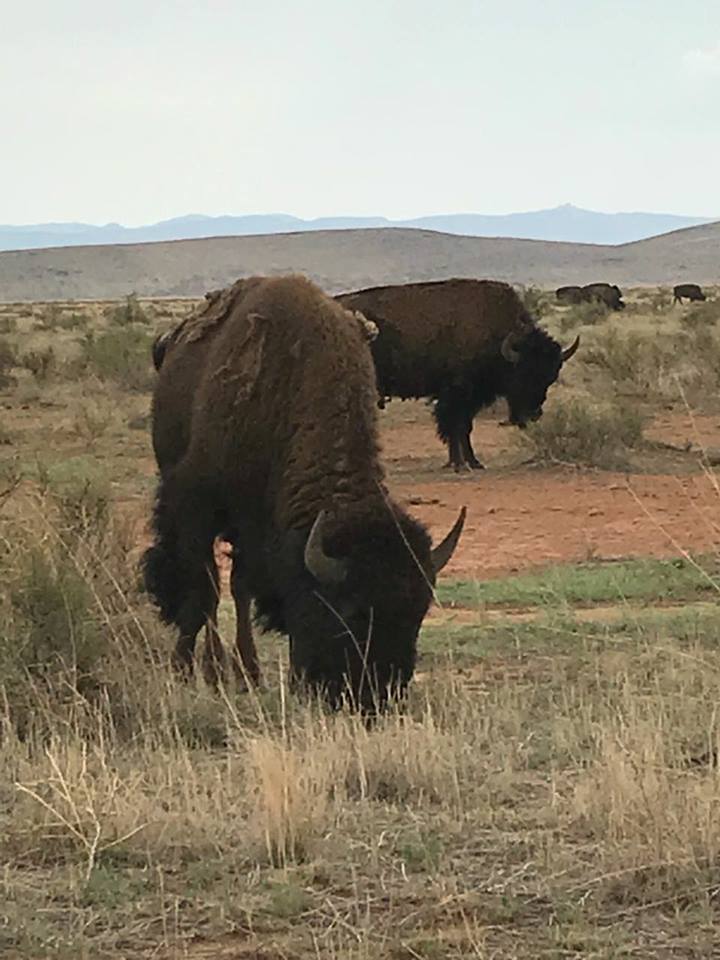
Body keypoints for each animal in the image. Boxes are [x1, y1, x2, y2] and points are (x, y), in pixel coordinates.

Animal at [143, 275, 465, 712]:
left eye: (418, 612)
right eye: (351, 613)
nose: (380, 695)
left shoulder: (257, 528)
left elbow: (241, 586)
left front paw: (251, 674)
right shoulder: (198, 508)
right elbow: (204, 590)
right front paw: (192, 670)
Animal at [336, 279, 579, 472]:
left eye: (550, 377)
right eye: (522, 374)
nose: (532, 415)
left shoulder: (469, 399)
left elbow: (463, 428)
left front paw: (471, 462)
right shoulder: (456, 395)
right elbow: (456, 426)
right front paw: (460, 464)